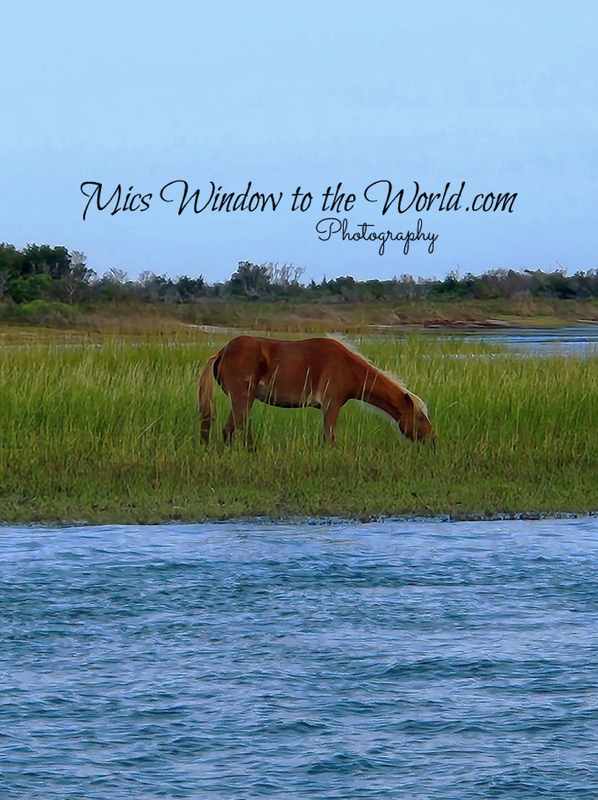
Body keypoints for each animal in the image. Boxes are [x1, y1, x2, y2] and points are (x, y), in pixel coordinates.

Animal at [198, 335, 436, 446]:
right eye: (419, 417)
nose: (433, 439)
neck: (347, 366)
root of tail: (221, 352)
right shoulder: (331, 406)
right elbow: (330, 439)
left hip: (242, 400)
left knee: (230, 431)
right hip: (242, 399)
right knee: (235, 429)